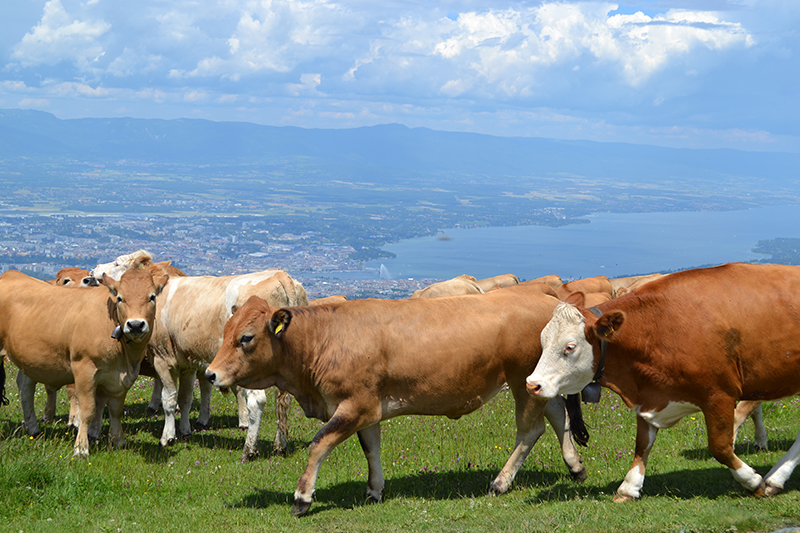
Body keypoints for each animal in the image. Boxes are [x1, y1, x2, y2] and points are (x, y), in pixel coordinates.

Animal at [0, 268, 166, 456]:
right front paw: (81, 447)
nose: (136, 325)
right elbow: (88, 411)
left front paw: (119, 441)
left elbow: (116, 411)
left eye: (152, 297)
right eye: (120, 298)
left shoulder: (121, 377)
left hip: (29, 359)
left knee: (25, 387)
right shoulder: (84, 370)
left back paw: (33, 428)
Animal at [206, 282, 588, 516]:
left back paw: (501, 482)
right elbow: (371, 448)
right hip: (536, 383)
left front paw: (302, 497)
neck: (324, 339)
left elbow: (319, 444)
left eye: (246, 337)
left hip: (521, 381)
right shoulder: (368, 406)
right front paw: (374, 490)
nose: (211, 374)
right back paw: (575, 466)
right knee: (559, 415)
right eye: (225, 332)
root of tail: (545, 296)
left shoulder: (354, 404)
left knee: (530, 430)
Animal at [528, 264, 800, 500]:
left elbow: (720, 447)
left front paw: (753, 481)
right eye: (542, 340)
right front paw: (629, 487)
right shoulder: (649, 394)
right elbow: (642, 444)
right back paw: (777, 478)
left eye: (570, 347)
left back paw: (772, 478)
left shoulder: (718, 395)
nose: (532, 384)